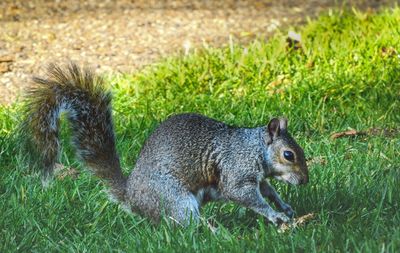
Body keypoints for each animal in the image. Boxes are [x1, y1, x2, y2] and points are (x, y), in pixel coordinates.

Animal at [21, 62, 310, 226]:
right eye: (289, 155)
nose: (305, 181)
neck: (253, 148)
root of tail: (132, 197)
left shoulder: (257, 177)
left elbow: (268, 190)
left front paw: (284, 206)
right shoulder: (236, 171)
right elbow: (245, 195)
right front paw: (275, 216)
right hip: (176, 200)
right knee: (186, 226)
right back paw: (215, 231)